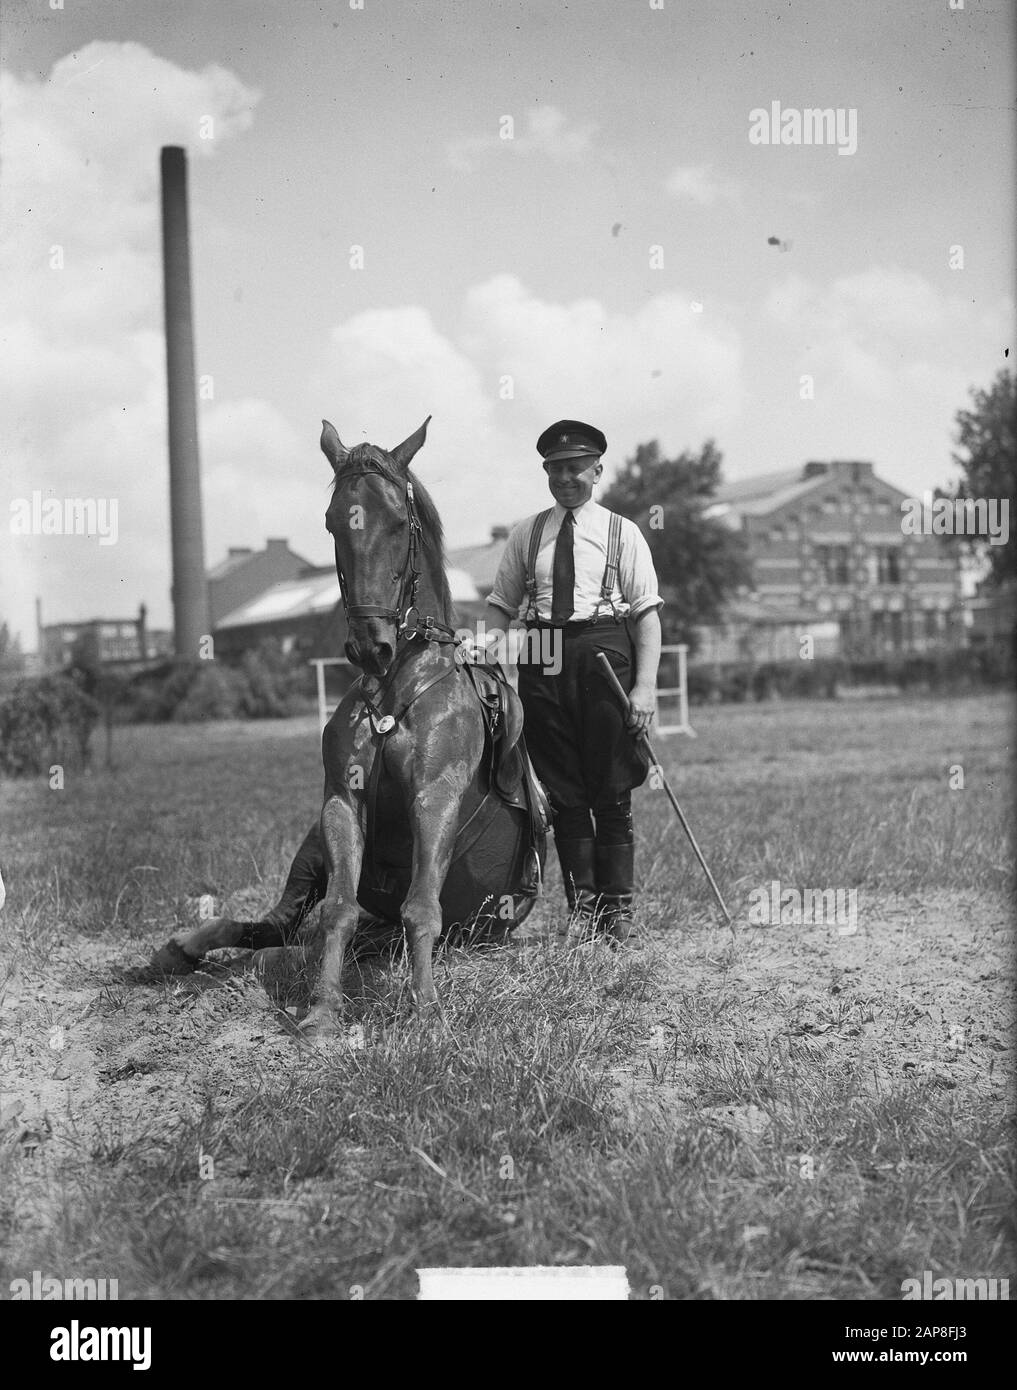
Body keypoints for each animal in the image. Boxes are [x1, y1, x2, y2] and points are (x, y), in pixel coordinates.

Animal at [152, 417, 547, 1032]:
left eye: (398, 520)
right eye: (334, 521)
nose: (369, 645)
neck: (393, 690)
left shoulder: (434, 797)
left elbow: (420, 907)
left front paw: (425, 1009)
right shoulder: (340, 800)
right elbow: (339, 909)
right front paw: (321, 1010)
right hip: (312, 847)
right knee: (280, 927)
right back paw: (187, 948)